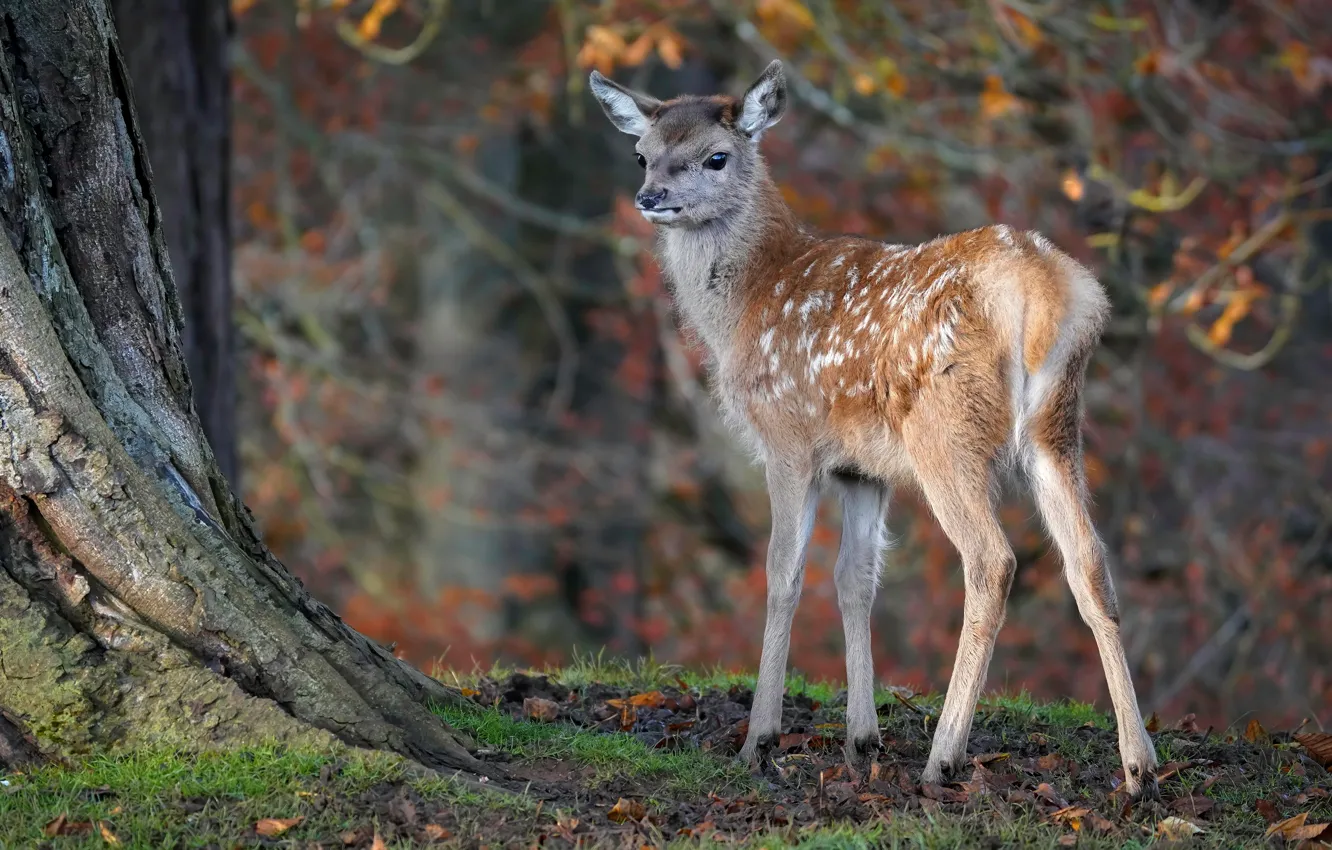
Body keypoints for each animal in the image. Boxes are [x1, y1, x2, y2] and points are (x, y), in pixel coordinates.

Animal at [589, 59, 1159, 798]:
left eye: (716, 157)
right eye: (642, 153)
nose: (650, 196)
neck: (746, 306)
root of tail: (1045, 291)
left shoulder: (789, 438)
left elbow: (784, 572)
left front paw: (759, 740)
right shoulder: (862, 467)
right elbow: (855, 579)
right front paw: (862, 739)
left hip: (946, 431)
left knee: (992, 560)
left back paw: (943, 757)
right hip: (1057, 426)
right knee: (1089, 561)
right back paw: (1139, 765)